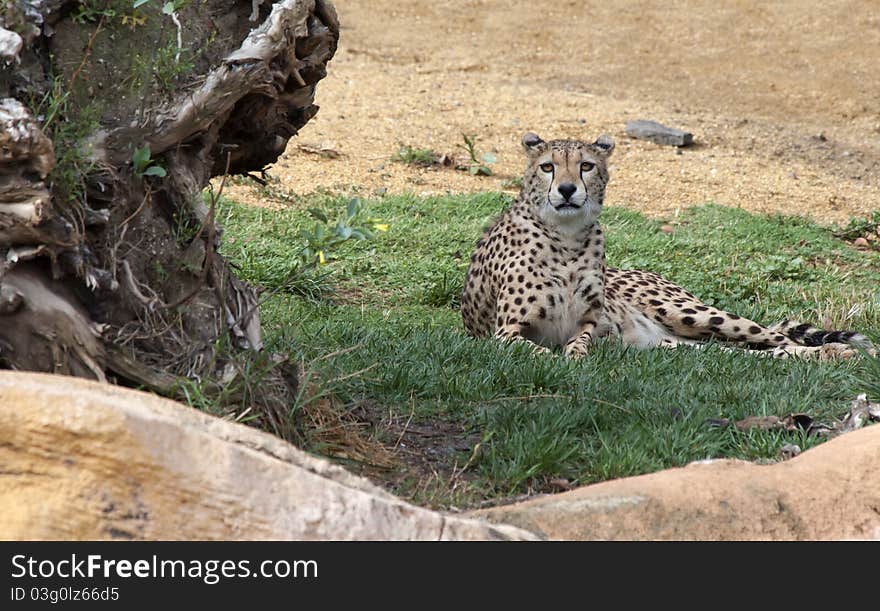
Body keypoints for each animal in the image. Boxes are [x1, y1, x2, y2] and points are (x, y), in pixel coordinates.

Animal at [464, 130, 868, 358]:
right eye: (548, 166)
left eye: (586, 166)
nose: (566, 189)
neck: (566, 236)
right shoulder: (503, 334)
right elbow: (537, 351)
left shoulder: (586, 326)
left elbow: (576, 347)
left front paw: (571, 359)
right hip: (673, 344)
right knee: (739, 354)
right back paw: (828, 355)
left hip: (690, 314)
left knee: (777, 339)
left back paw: (837, 350)